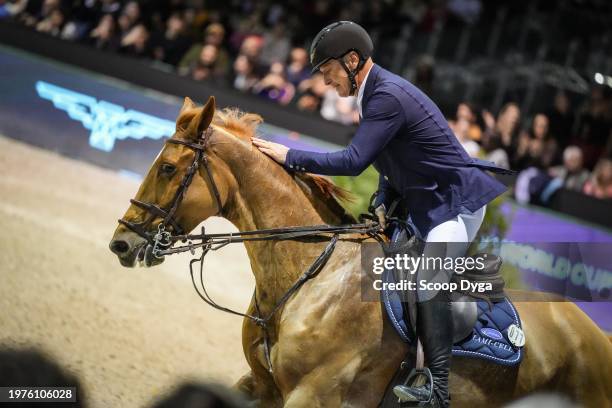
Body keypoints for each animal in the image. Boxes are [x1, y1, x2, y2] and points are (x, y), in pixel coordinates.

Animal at [110, 96, 612, 408]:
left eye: (168, 167)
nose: (121, 242)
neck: (311, 276)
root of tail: (596, 337)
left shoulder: (312, 396)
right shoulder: (261, 386)